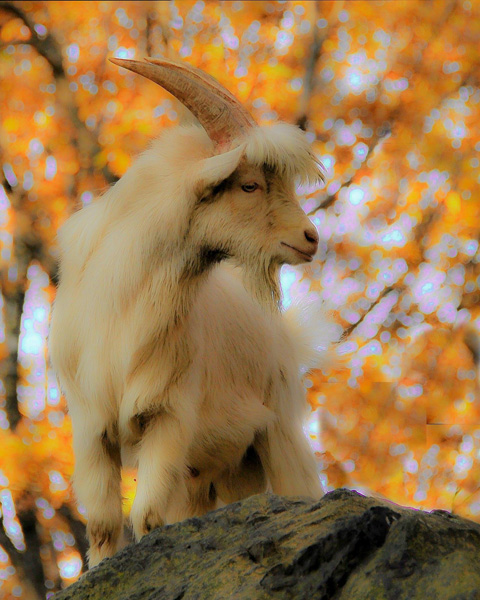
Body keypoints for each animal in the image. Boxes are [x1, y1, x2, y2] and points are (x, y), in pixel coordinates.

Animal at [47, 57, 334, 568]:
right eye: (249, 184)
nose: (310, 238)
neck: (123, 307)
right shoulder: (91, 424)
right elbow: (102, 526)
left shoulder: (168, 413)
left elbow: (146, 518)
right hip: (215, 471)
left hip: (278, 430)